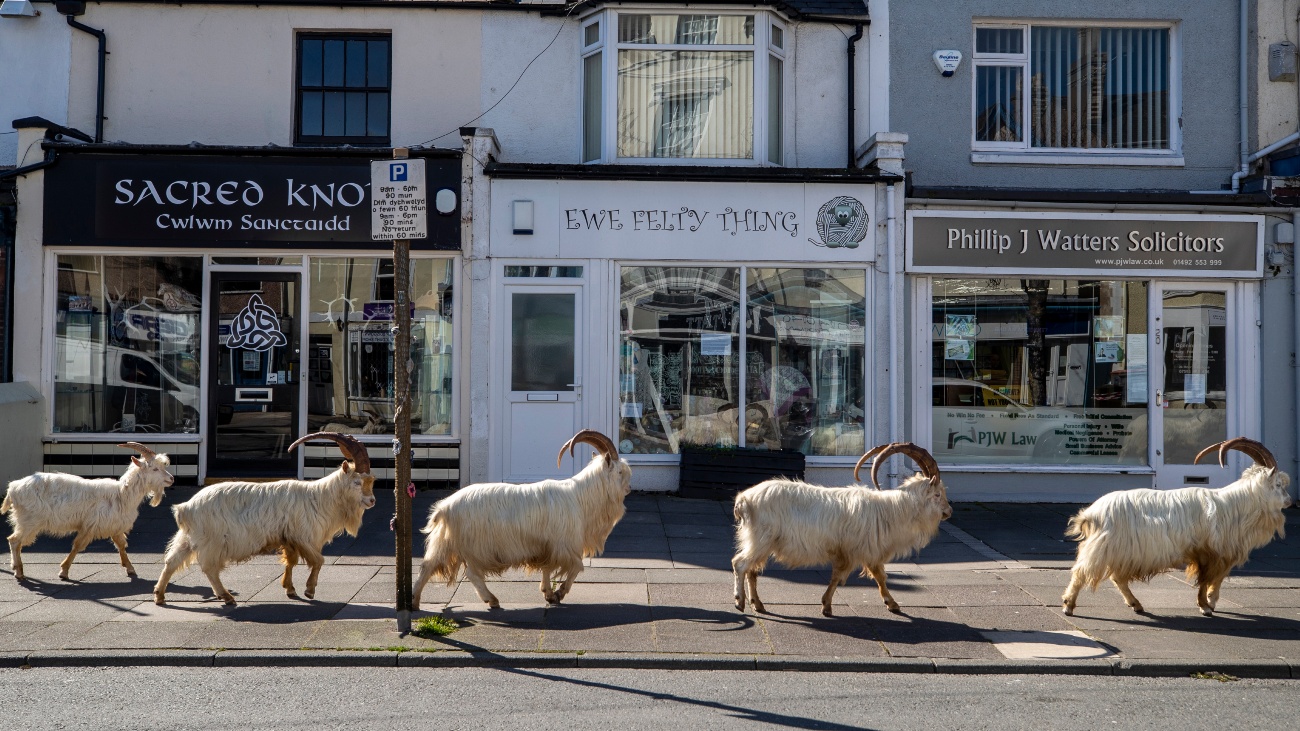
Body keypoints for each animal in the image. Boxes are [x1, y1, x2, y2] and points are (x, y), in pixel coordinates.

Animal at [3, 437, 172, 580]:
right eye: (154, 469)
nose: (171, 479)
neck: (122, 494)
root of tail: (13, 488)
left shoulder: (114, 525)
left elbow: (121, 545)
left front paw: (130, 568)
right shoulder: (90, 525)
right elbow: (77, 546)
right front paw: (64, 571)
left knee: (15, 541)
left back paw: (16, 568)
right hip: (29, 521)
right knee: (14, 541)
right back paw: (19, 572)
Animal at [154, 431, 377, 603]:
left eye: (371, 480)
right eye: (357, 482)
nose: (372, 501)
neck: (320, 497)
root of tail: (186, 508)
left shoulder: (289, 538)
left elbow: (291, 561)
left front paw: (290, 589)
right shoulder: (303, 536)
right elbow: (318, 560)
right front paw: (309, 590)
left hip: (189, 537)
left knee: (172, 561)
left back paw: (159, 595)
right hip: (213, 540)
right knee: (209, 568)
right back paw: (226, 596)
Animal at [408, 429, 626, 606]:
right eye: (621, 472)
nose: (628, 489)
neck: (580, 497)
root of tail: (445, 508)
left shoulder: (547, 545)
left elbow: (547, 568)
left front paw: (548, 593)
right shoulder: (564, 545)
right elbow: (576, 568)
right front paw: (559, 593)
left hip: (445, 542)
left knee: (427, 566)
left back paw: (415, 602)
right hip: (477, 547)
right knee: (471, 573)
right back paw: (491, 599)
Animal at [733, 437, 956, 613]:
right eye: (937, 494)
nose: (949, 512)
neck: (891, 510)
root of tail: (744, 499)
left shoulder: (857, 551)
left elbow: (853, 576)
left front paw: (828, 605)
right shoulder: (860, 549)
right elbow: (869, 576)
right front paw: (891, 604)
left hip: (761, 543)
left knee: (752, 570)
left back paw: (758, 604)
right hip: (761, 539)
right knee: (740, 564)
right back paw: (740, 602)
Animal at [1060, 437, 1294, 613]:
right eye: (1278, 484)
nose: (1291, 501)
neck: (1232, 506)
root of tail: (1092, 513)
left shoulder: (1218, 554)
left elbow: (1216, 579)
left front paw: (1211, 602)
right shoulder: (1208, 552)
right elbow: (1205, 580)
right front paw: (1206, 606)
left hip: (1121, 552)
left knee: (1118, 578)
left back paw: (1136, 604)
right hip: (1104, 548)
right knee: (1082, 572)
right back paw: (1068, 605)